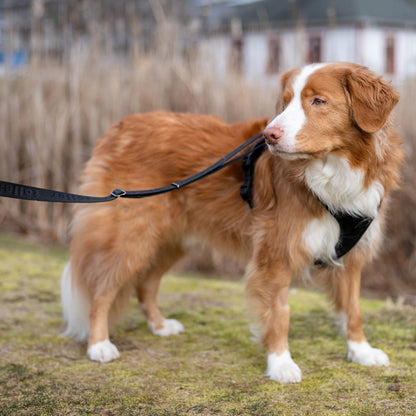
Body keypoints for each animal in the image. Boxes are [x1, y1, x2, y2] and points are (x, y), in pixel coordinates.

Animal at [61, 62, 404, 384]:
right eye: (285, 103)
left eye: (318, 101)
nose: (269, 135)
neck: (332, 171)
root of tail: (118, 128)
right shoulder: (275, 257)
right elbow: (280, 314)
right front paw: (280, 363)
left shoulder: (351, 256)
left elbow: (353, 310)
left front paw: (361, 351)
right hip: (132, 237)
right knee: (101, 290)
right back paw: (98, 345)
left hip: (171, 240)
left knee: (145, 283)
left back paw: (159, 326)